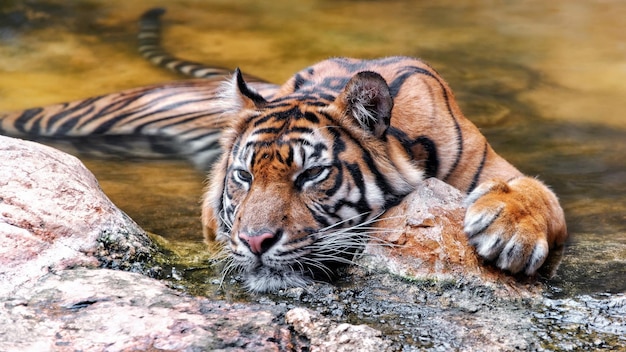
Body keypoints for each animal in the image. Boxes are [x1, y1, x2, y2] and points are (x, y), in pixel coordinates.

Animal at [0, 8, 564, 292]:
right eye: (244, 176)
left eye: (310, 175)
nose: (255, 243)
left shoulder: (493, 167)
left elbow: (538, 193)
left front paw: (510, 237)